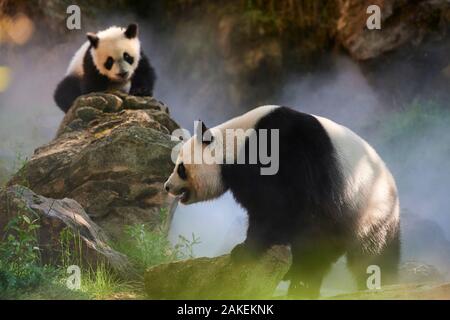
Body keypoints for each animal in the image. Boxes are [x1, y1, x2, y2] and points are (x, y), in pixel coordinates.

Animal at [165, 105, 400, 298]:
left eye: (181, 167)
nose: (167, 186)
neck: (237, 142)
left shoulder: (282, 153)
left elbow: (280, 207)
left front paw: (244, 250)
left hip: (371, 214)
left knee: (369, 258)